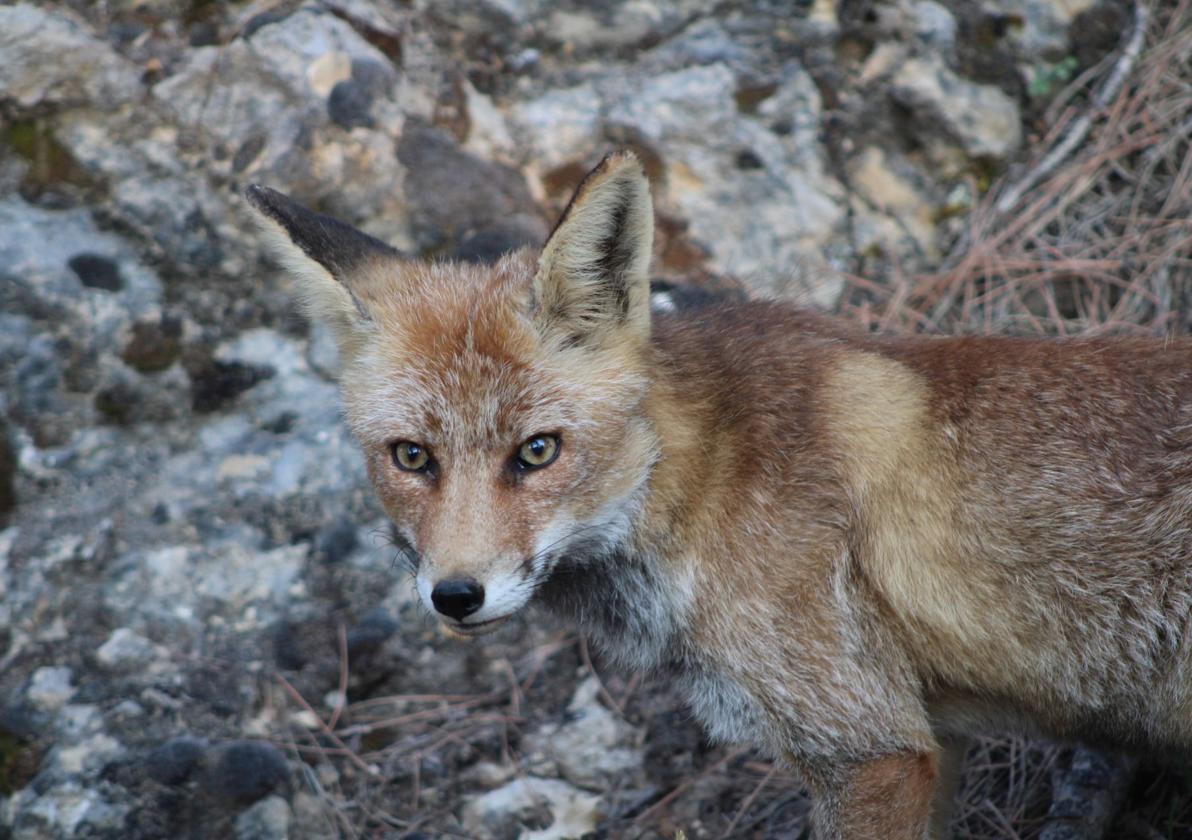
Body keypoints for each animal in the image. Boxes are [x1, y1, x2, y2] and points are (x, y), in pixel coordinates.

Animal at [246, 152, 1192, 838]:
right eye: (412, 457)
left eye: (537, 451)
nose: (455, 595)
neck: (695, 487)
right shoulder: (931, 737)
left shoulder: (870, 749)